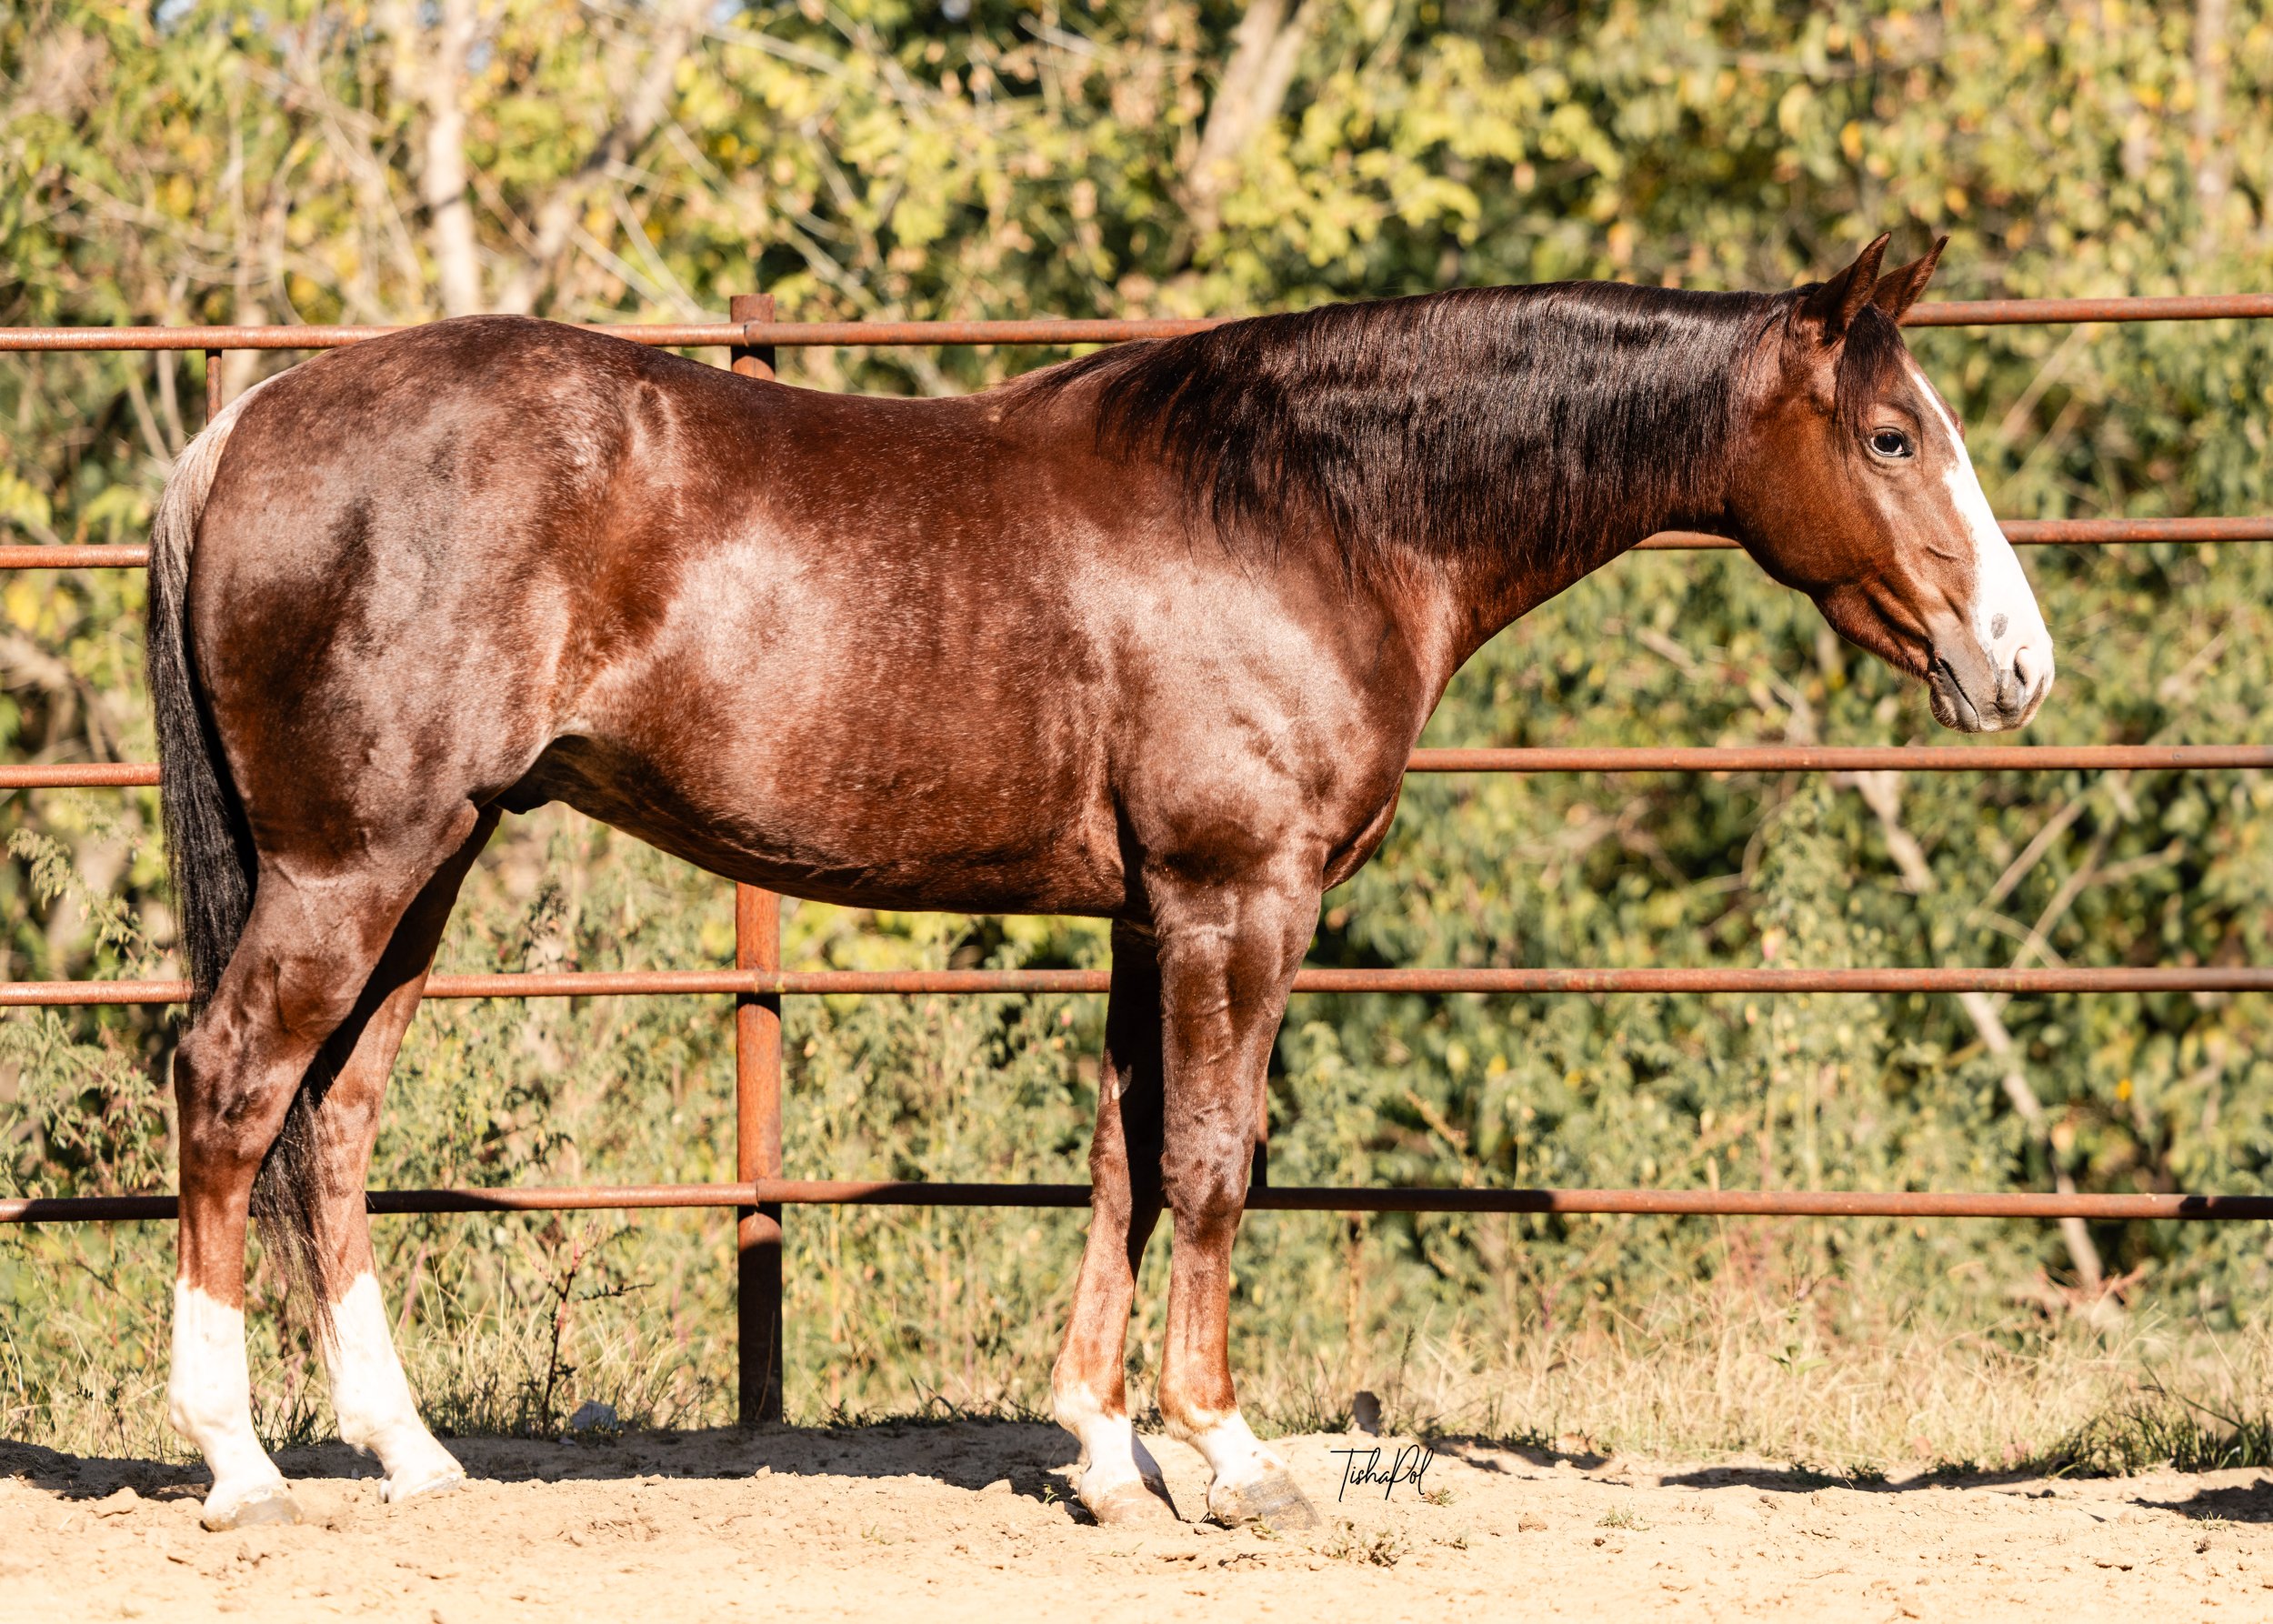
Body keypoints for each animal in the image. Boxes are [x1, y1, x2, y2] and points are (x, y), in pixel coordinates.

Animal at [145, 232, 2050, 1532]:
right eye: (1894, 437)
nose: (2017, 664)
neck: (1309, 511)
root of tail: (253, 417)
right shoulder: (1238, 899)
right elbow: (1211, 1161)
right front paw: (1231, 1456)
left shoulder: (1155, 915)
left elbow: (1128, 1160)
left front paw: (1108, 1450)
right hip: (352, 863)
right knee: (232, 1084)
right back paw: (238, 1462)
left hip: (429, 859)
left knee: (336, 1116)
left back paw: (409, 1454)